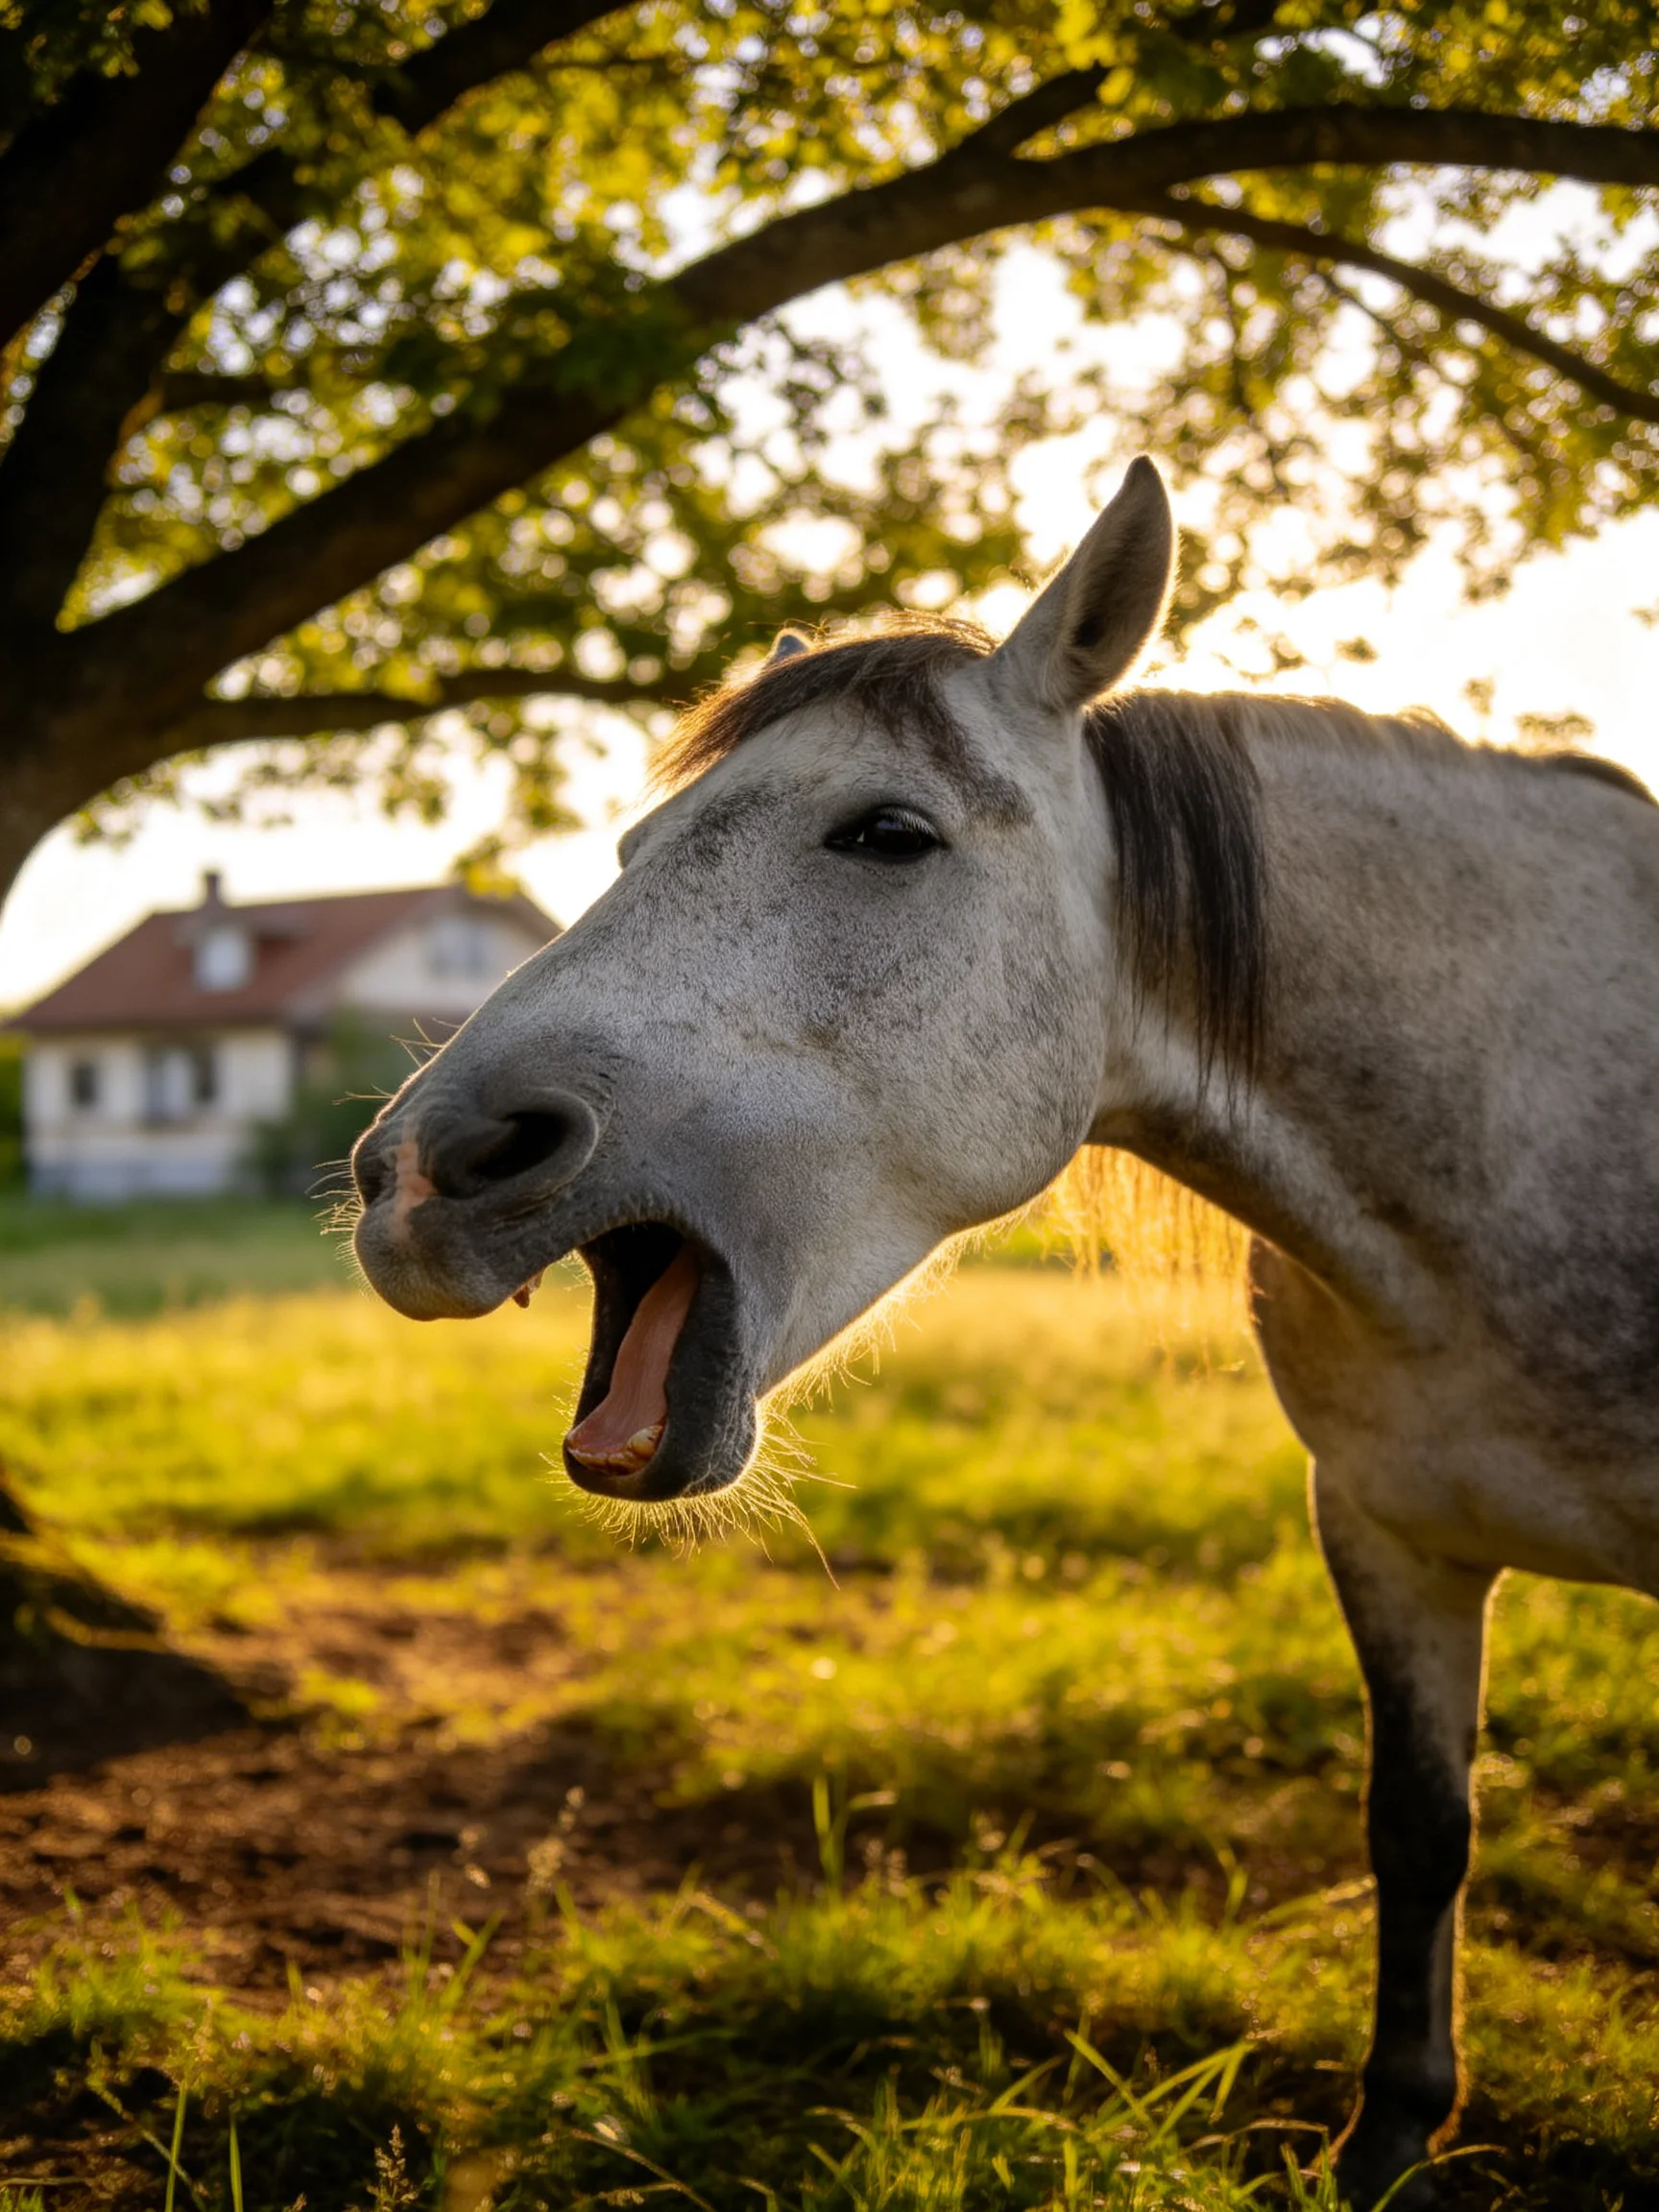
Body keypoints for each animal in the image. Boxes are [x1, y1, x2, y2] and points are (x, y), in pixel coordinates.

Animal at [350, 458, 1659, 2207]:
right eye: (630, 842)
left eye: (888, 834)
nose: (422, 1174)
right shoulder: (1387, 1533)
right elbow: (1419, 1829)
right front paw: (1389, 2137)